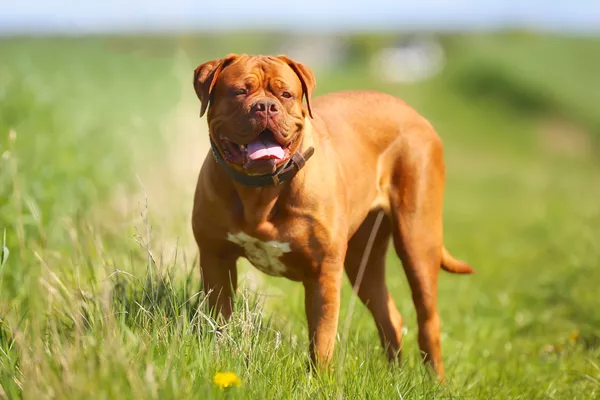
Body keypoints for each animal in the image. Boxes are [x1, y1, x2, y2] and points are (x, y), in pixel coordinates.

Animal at [192, 53, 474, 378]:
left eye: (285, 94)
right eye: (240, 91)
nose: (265, 106)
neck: (261, 191)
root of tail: (414, 114)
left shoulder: (323, 272)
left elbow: (322, 337)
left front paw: (316, 380)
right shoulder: (216, 259)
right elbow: (219, 320)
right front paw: (218, 359)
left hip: (417, 240)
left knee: (428, 319)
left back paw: (435, 381)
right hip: (362, 259)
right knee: (389, 314)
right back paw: (395, 376)